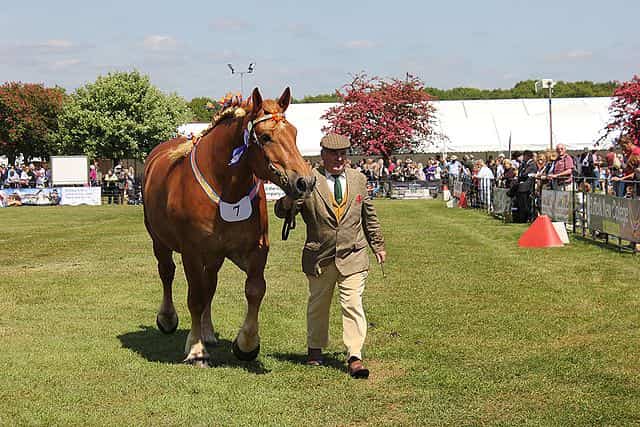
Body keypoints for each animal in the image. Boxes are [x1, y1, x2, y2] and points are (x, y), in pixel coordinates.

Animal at [144, 88, 316, 368]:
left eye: (295, 133)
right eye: (265, 137)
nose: (305, 181)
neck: (227, 190)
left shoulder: (257, 249)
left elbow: (254, 290)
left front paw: (246, 344)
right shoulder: (191, 252)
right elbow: (195, 298)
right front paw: (196, 349)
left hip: (214, 256)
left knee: (210, 285)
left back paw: (207, 331)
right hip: (159, 240)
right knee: (167, 273)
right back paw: (168, 318)